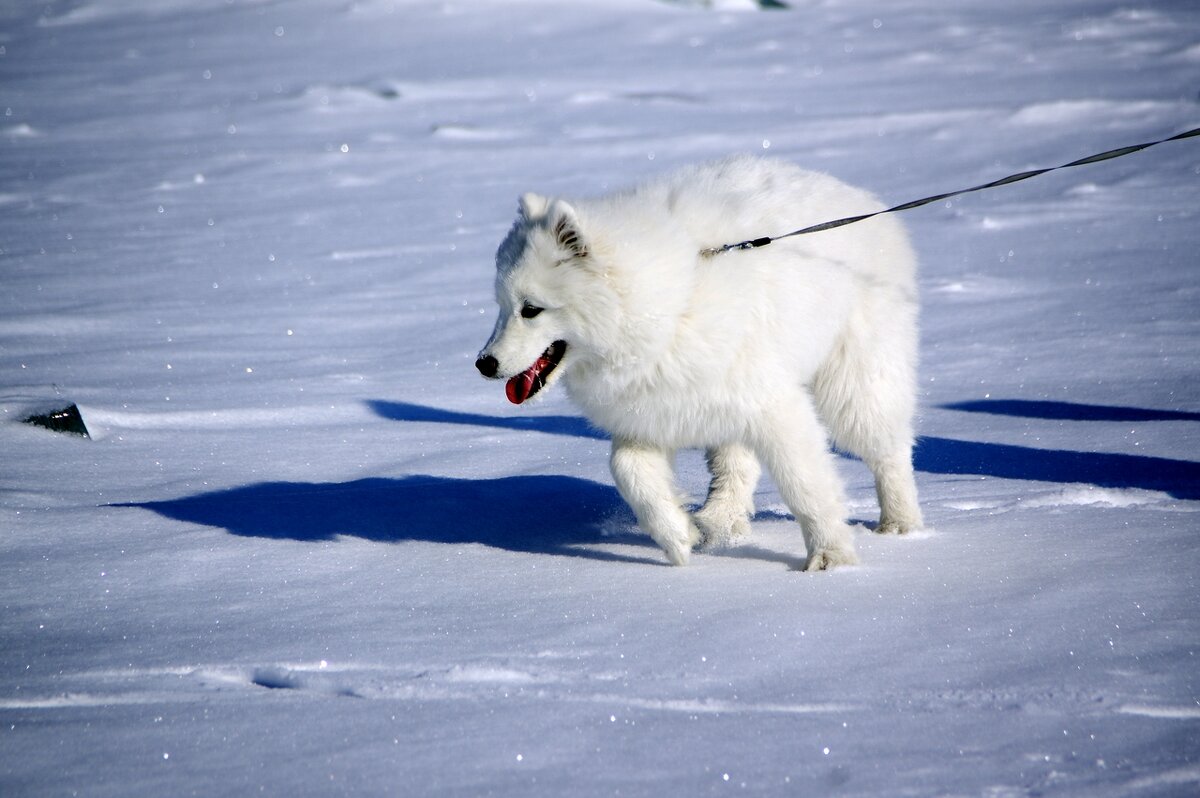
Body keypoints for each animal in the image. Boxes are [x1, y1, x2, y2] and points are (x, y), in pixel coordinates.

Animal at [472, 153, 921, 566]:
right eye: (502, 306)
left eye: (532, 310)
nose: (484, 364)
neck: (671, 307)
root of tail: (862, 198)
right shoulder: (651, 413)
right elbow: (627, 469)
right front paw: (678, 537)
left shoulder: (775, 406)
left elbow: (806, 484)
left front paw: (831, 557)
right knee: (736, 467)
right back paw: (720, 521)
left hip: (855, 384)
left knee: (889, 451)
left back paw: (901, 526)